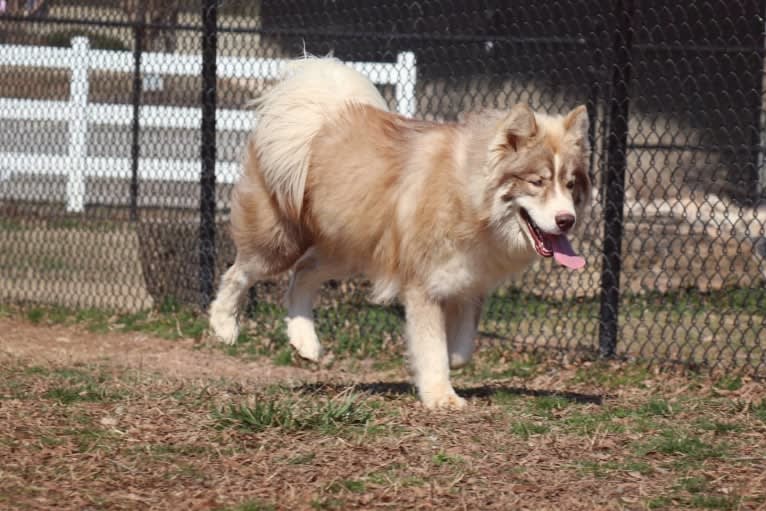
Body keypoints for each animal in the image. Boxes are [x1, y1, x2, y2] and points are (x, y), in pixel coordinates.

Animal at [207, 56, 592, 410]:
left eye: (570, 183)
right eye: (537, 182)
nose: (567, 220)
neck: (469, 197)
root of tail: (319, 112)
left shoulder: (469, 279)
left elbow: (461, 347)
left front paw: (448, 363)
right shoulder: (424, 283)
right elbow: (432, 344)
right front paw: (441, 396)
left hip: (349, 248)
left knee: (302, 274)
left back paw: (305, 342)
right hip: (279, 241)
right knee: (239, 271)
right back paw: (224, 324)